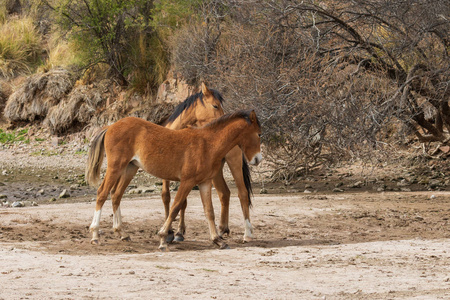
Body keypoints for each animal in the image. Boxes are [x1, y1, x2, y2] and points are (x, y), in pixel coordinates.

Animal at [86, 109, 262, 250]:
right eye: (259, 134)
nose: (258, 159)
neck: (208, 144)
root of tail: (110, 127)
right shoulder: (187, 181)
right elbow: (175, 206)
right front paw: (164, 237)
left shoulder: (204, 183)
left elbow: (209, 211)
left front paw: (217, 240)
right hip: (115, 167)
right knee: (102, 193)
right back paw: (95, 235)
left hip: (130, 168)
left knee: (116, 195)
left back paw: (122, 233)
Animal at [163, 83, 255, 243]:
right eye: (215, 105)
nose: (225, 120)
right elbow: (168, 197)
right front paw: (172, 231)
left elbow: (181, 202)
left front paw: (178, 232)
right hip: (216, 172)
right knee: (224, 193)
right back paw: (222, 229)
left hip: (234, 164)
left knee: (242, 194)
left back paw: (246, 234)